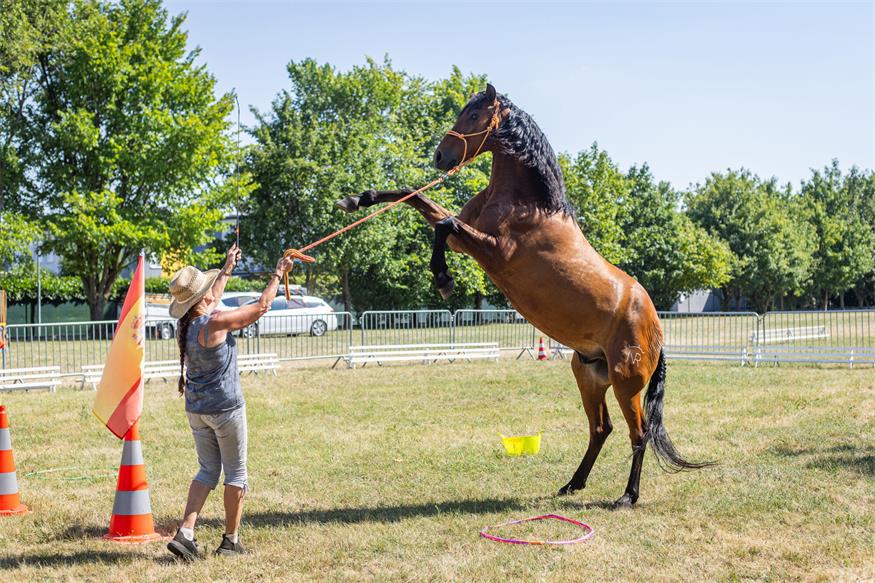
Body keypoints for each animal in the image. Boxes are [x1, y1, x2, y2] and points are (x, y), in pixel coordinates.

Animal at [335, 83, 711, 507]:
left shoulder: (493, 251)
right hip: (589, 375)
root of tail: (656, 328)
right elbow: (416, 198)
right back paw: (572, 483)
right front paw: (356, 199)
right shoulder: (468, 239)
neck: (529, 204)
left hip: (626, 383)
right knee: (601, 429)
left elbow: (444, 224)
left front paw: (443, 279)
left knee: (639, 433)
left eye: (474, 115)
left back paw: (627, 496)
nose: (440, 157)